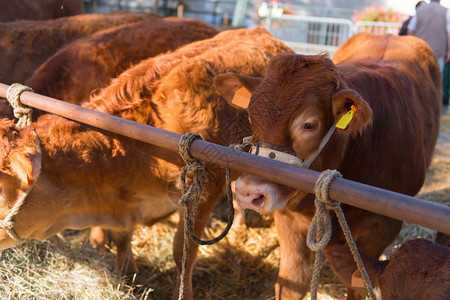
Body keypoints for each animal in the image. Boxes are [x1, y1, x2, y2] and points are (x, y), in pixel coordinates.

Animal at [214, 31, 440, 298]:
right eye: (250, 115)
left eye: (309, 124)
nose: (249, 193)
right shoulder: (288, 217)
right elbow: (293, 282)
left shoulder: (383, 228)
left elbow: (359, 285)